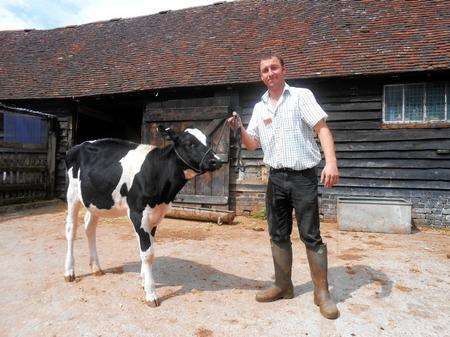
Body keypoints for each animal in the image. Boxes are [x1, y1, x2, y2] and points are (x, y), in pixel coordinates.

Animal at [64, 125, 222, 304]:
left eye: (208, 141)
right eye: (190, 143)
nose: (217, 161)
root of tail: (78, 146)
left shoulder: (155, 215)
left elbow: (149, 247)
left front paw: (143, 280)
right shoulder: (138, 213)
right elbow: (148, 253)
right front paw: (151, 293)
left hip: (95, 200)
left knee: (89, 228)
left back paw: (96, 268)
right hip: (72, 195)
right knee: (71, 230)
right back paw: (69, 272)